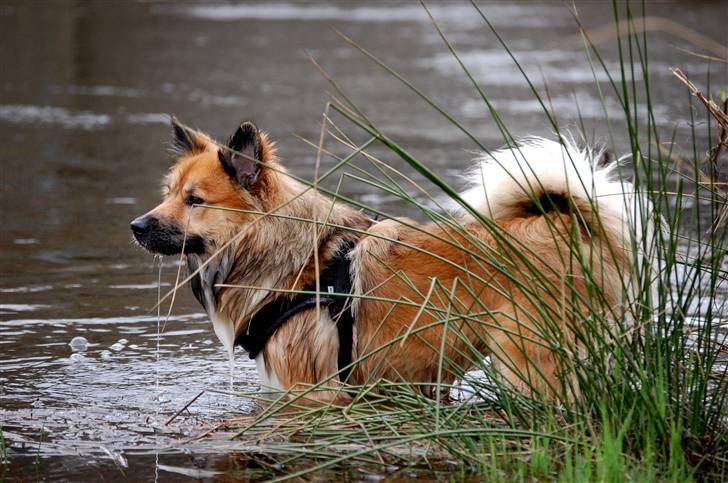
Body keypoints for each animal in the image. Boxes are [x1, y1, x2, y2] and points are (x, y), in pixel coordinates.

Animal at [132, 118, 644, 404]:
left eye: (194, 200)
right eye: (169, 194)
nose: (136, 225)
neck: (290, 254)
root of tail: (570, 224)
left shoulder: (309, 390)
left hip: (530, 361)